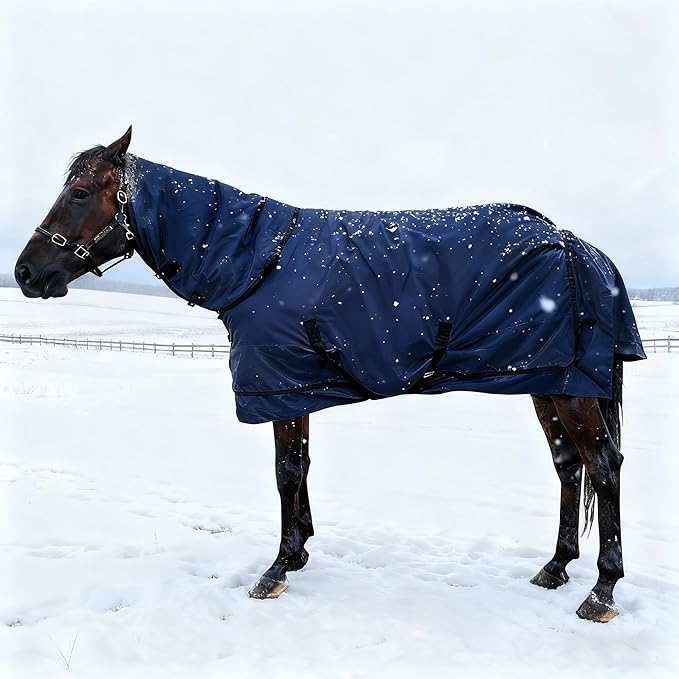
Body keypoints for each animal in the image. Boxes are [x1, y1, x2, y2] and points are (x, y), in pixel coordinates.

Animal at [15, 127, 646, 622]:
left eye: (79, 193)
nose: (25, 273)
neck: (257, 260)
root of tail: (584, 250)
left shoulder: (278, 387)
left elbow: (286, 472)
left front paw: (276, 569)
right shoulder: (294, 389)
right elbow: (301, 469)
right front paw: (297, 554)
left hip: (572, 390)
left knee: (603, 466)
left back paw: (601, 591)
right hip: (549, 381)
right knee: (568, 467)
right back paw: (555, 567)